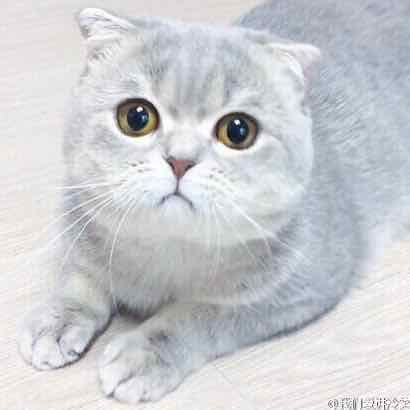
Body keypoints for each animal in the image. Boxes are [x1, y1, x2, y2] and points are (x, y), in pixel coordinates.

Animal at [18, 0, 410, 404]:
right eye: (136, 117)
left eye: (238, 131)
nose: (180, 160)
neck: (167, 251)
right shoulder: (81, 221)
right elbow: (79, 277)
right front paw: (57, 320)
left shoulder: (297, 289)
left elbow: (200, 313)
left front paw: (144, 353)